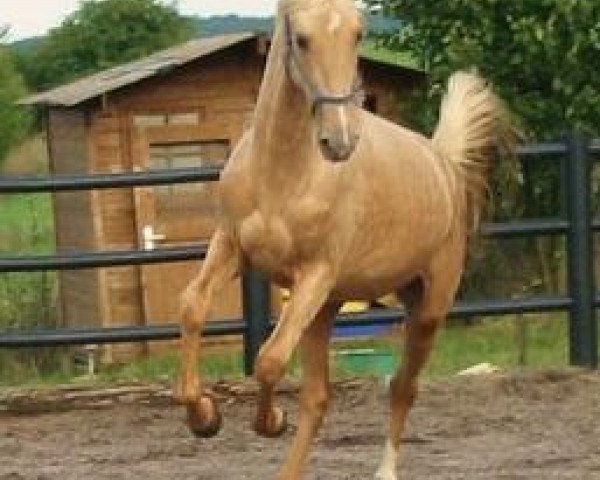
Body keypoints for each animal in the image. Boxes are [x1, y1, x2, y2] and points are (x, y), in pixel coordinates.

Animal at [172, 0, 510, 476]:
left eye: (358, 33)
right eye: (301, 39)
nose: (340, 141)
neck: (285, 175)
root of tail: (442, 160)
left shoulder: (316, 273)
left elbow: (269, 360)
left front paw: (271, 421)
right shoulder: (231, 246)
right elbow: (193, 308)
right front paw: (203, 416)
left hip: (425, 308)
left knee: (402, 386)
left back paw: (384, 470)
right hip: (326, 310)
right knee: (319, 399)